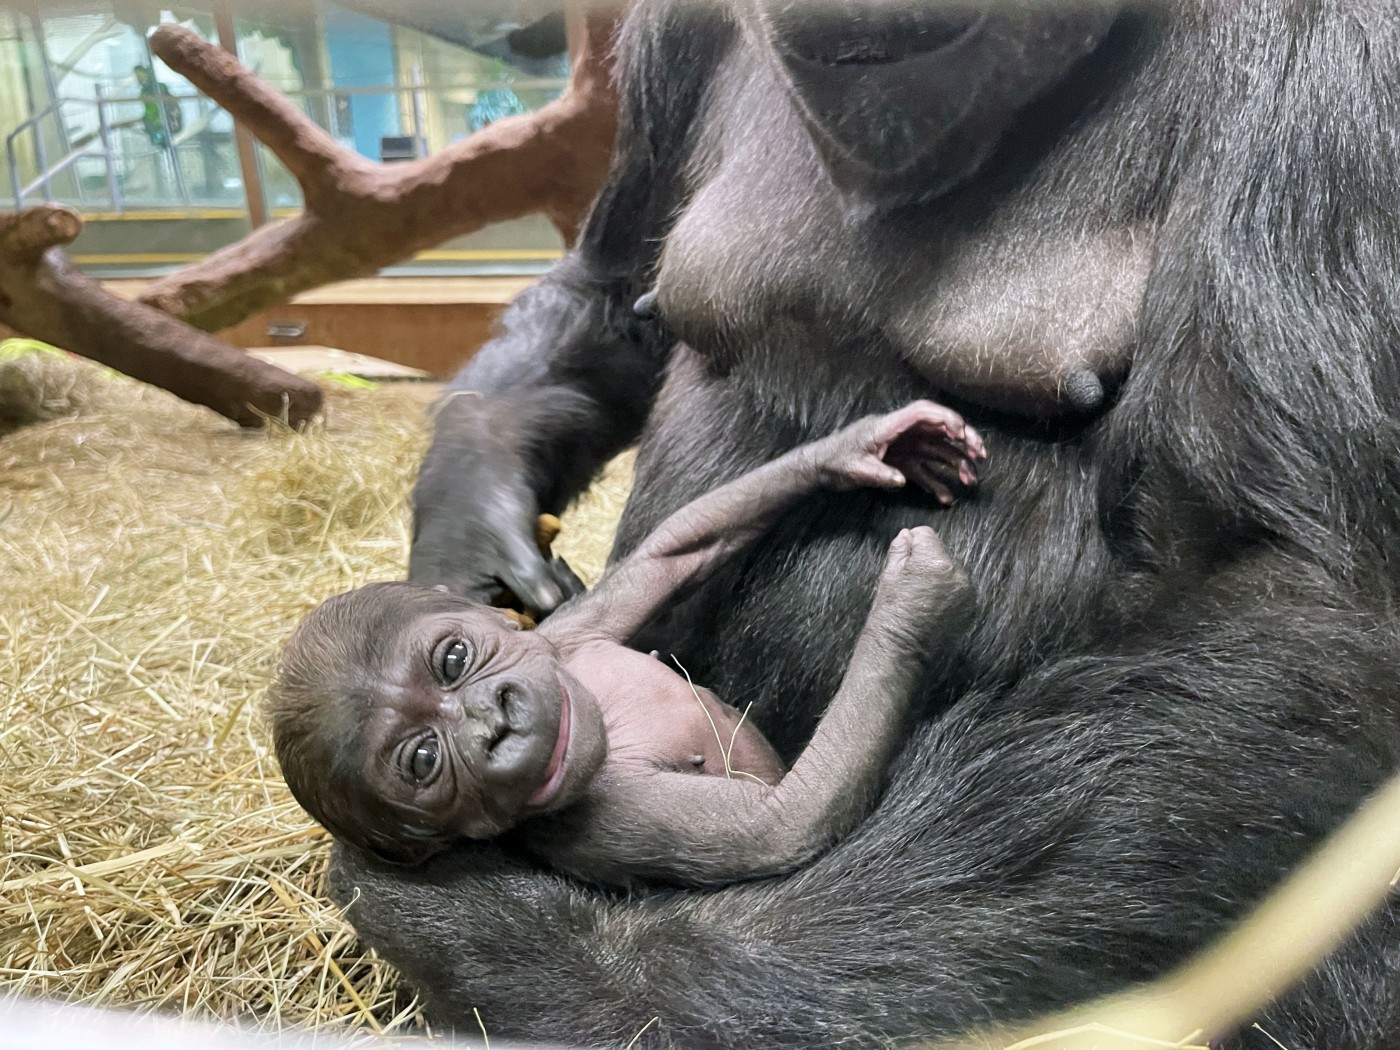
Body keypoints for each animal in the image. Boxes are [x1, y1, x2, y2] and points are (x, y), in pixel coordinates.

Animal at [267, 403, 980, 890]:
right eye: (423, 760)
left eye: (453, 660)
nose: (494, 721)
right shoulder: (603, 821)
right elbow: (785, 823)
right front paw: (914, 607)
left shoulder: (569, 635)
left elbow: (673, 549)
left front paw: (858, 447)